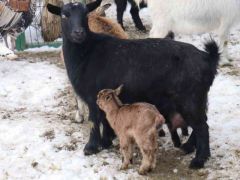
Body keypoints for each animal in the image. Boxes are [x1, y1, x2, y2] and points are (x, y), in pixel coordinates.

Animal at [47, 2, 219, 169]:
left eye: (85, 14)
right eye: (64, 15)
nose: (79, 33)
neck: (87, 52)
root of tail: (208, 58)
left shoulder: (92, 96)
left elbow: (94, 120)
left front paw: (91, 147)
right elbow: (105, 119)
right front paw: (106, 142)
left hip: (190, 99)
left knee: (202, 127)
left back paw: (199, 160)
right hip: (198, 98)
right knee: (202, 122)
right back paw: (189, 147)